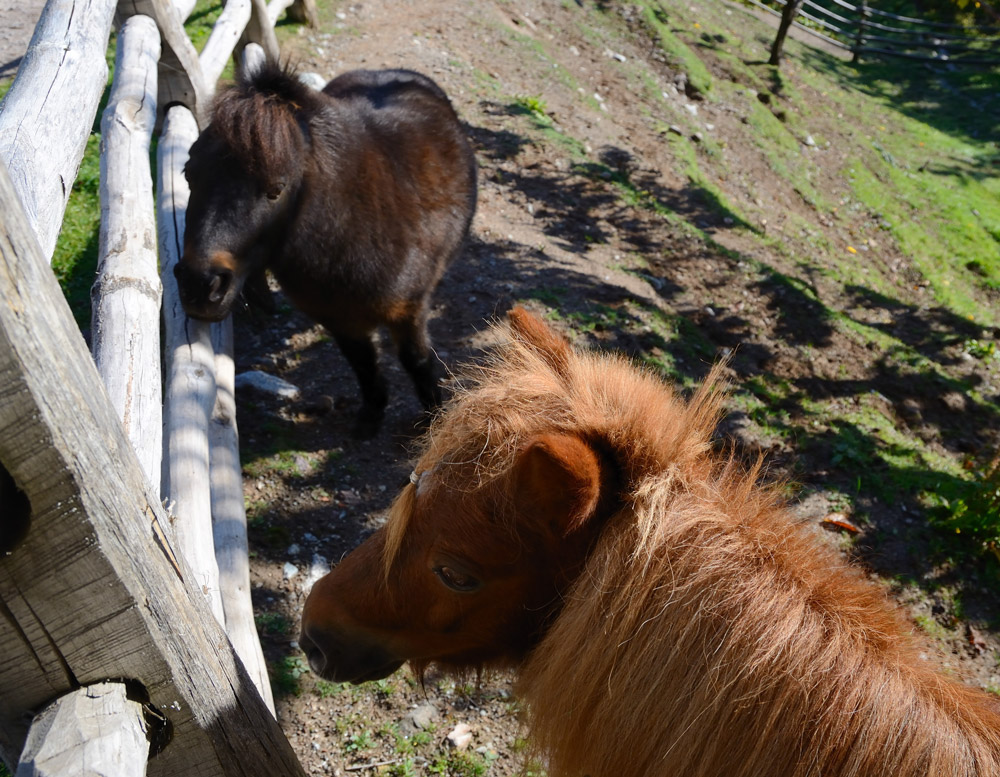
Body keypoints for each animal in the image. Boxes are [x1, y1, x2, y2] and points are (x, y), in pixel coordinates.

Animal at [176, 63, 476, 434]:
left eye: (276, 189)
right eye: (189, 173)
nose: (199, 285)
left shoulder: (408, 310)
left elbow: (417, 361)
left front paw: (434, 420)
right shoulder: (338, 317)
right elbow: (363, 362)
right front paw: (371, 415)